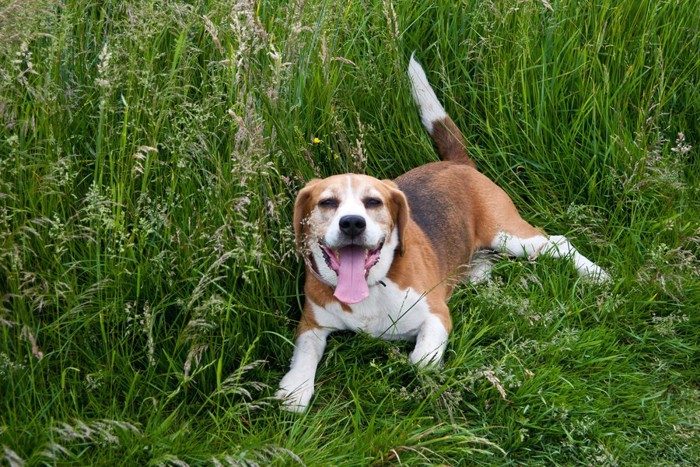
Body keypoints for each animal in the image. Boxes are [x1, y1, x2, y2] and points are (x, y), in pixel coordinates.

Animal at [274, 55, 608, 414]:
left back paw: (595, 273)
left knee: (557, 243)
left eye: (373, 202)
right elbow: (305, 352)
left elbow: (421, 360)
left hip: (509, 235)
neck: (371, 287)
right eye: (327, 203)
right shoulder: (312, 324)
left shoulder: (436, 314)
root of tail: (460, 164)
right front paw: (296, 388)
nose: (352, 223)